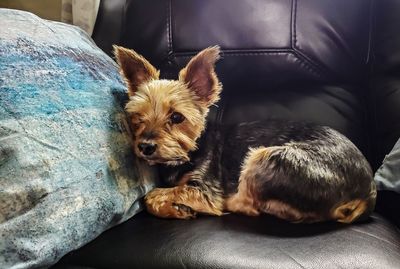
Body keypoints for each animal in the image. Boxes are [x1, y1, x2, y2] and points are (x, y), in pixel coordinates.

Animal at [114, 45, 376, 222]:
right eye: (137, 117)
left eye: (177, 117)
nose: (145, 146)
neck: (189, 152)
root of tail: (368, 189)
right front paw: (178, 209)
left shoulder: (207, 190)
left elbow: (152, 196)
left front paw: (178, 207)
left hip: (267, 157)